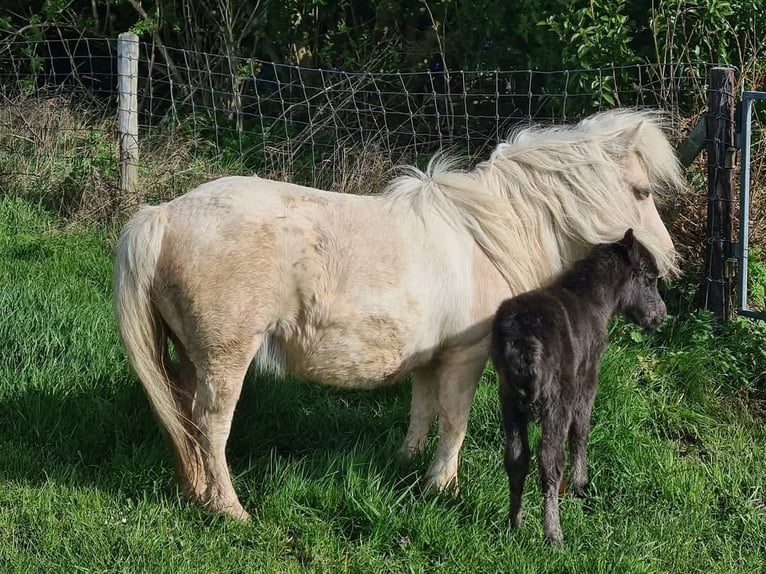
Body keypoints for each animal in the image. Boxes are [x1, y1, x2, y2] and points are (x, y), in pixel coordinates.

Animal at [112, 108, 684, 520]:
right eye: (641, 192)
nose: (669, 261)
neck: (486, 233)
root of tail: (160, 218)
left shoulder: (432, 358)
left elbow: (423, 410)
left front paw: (407, 464)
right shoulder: (466, 355)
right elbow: (454, 420)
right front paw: (443, 487)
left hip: (191, 357)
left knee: (184, 417)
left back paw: (195, 491)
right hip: (225, 358)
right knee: (211, 426)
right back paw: (229, 509)